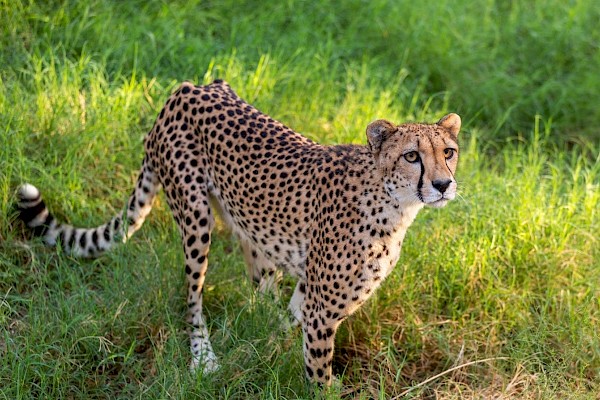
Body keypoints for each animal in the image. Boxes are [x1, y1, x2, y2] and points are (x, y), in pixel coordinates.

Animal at [16, 79, 462, 386]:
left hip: (249, 228)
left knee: (257, 294)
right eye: (411, 156)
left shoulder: (311, 292)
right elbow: (318, 374)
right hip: (196, 218)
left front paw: (265, 347)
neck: (394, 205)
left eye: (449, 152)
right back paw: (204, 357)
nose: (443, 184)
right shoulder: (322, 311)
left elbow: (289, 320)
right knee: (192, 296)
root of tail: (187, 88)